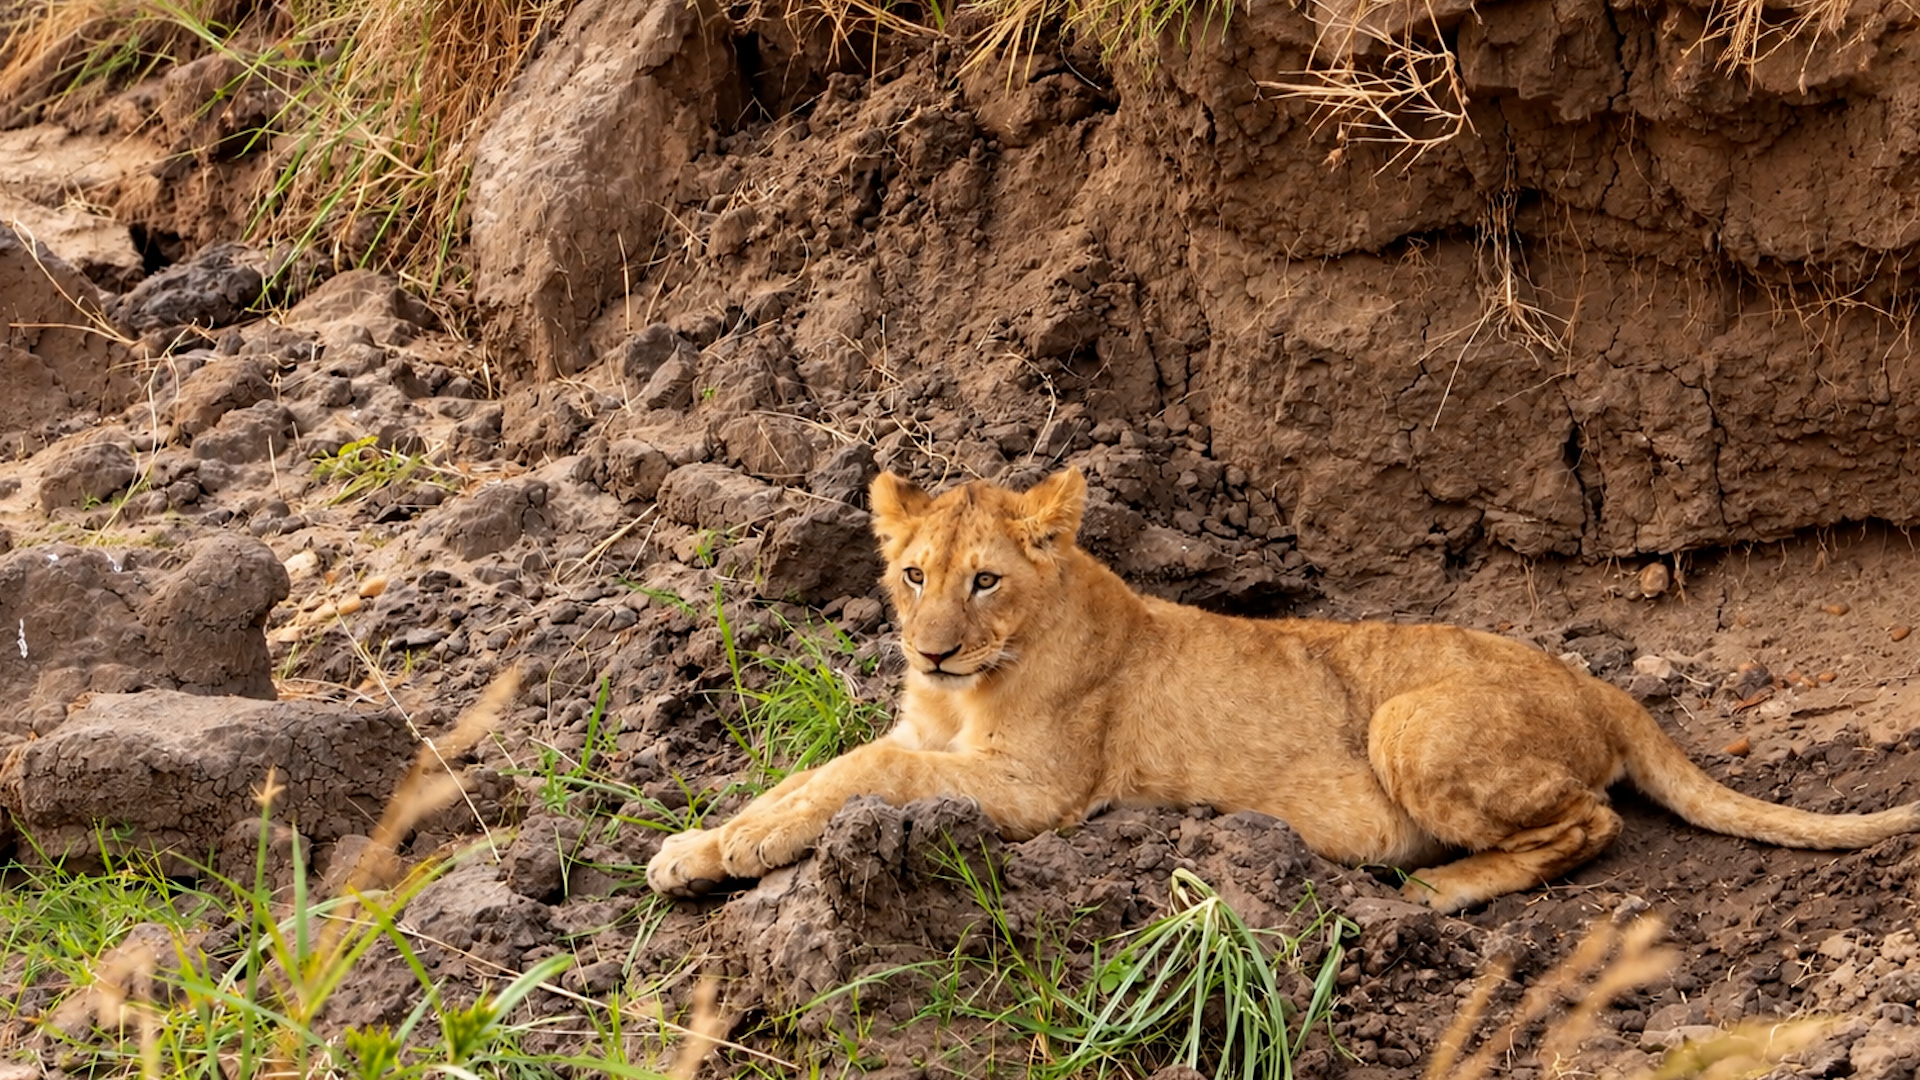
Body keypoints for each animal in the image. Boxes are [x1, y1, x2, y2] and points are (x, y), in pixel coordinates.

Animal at [646, 467, 1920, 911]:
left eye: (985, 579)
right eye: (913, 575)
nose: (933, 650)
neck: (969, 693)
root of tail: (1605, 690)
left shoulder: (1039, 788)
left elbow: (875, 772)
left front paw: (732, 847)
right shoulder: (940, 732)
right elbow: (835, 763)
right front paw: (701, 844)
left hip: (1410, 718)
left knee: (1594, 823)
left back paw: (1438, 890)